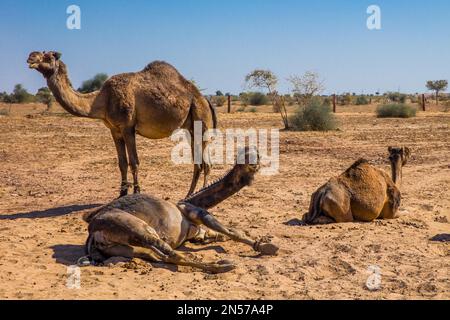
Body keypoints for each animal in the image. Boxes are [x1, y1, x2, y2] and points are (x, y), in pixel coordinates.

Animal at [26, 51, 216, 196]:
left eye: (48, 56)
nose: (30, 58)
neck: (101, 99)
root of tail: (205, 99)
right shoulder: (114, 130)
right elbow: (122, 163)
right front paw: (122, 193)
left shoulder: (127, 127)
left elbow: (134, 162)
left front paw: (136, 192)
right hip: (190, 128)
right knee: (201, 163)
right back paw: (193, 193)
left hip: (201, 119)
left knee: (203, 163)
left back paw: (196, 193)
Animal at [81, 148, 278, 272]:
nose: (254, 155)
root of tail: (92, 234)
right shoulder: (196, 212)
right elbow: (231, 231)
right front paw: (265, 246)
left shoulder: (198, 233)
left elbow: (219, 234)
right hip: (134, 227)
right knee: (171, 253)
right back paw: (222, 266)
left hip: (121, 248)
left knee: (159, 256)